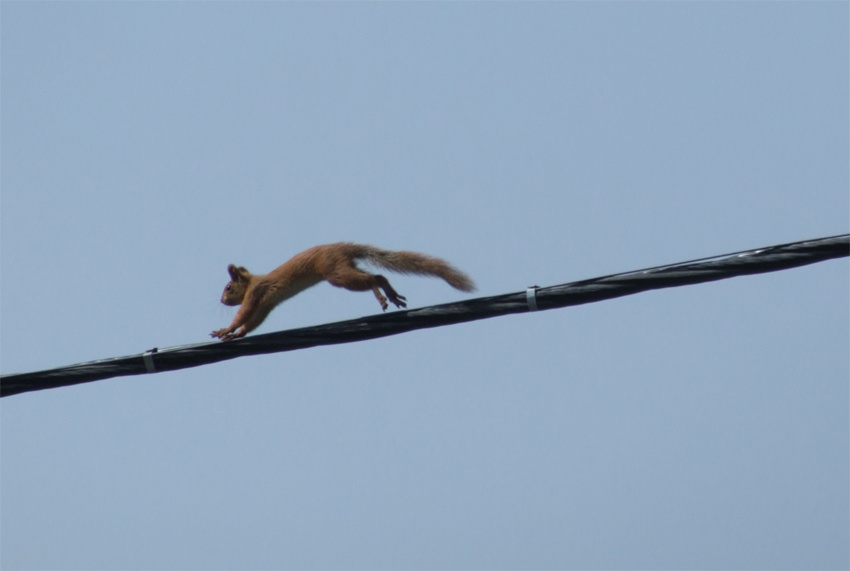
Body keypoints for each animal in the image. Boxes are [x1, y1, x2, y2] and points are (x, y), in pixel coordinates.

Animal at [211, 242, 475, 341]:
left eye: (228, 288)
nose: (222, 301)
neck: (252, 282)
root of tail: (342, 247)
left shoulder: (257, 293)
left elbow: (244, 313)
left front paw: (226, 329)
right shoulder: (266, 304)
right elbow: (253, 321)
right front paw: (237, 334)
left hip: (335, 273)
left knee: (371, 279)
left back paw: (381, 296)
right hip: (344, 267)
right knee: (379, 276)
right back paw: (390, 295)